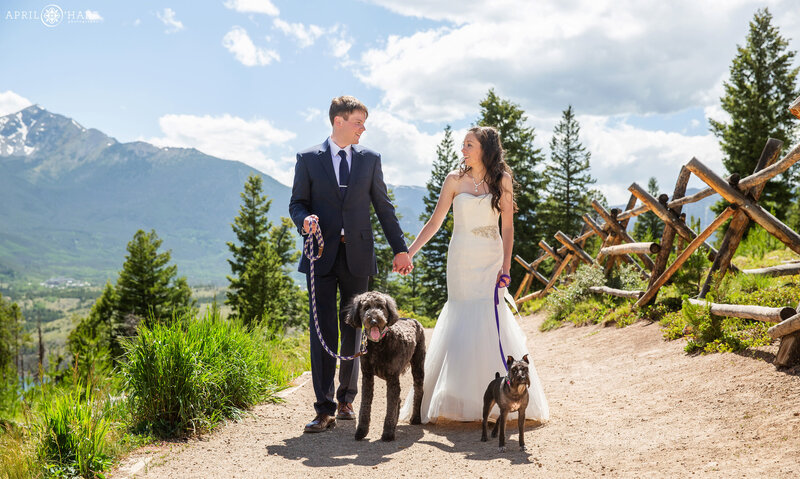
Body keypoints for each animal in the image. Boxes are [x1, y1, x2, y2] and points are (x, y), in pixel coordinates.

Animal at [344, 288, 424, 442]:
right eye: (366, 307)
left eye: (381, 307)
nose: (374, 320)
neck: (379, 344)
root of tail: (413, 319)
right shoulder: (367, 377)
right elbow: (365, 405)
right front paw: (361, 431)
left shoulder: (392, 378)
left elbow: (390, 406)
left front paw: (387, 433)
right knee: (399, 399)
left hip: (418, 365)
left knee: (418, 391)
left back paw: (415, 418)